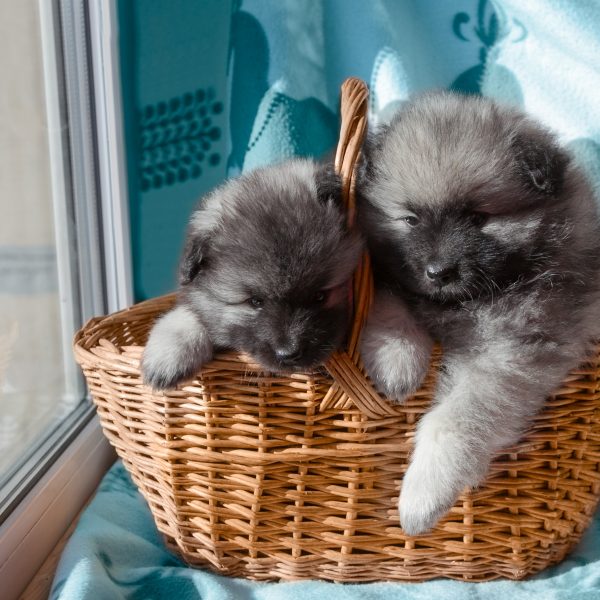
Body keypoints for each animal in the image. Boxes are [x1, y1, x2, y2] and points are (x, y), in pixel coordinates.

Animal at [356, 92, 600, 536]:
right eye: (411, 219)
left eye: (477, 217)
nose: (439, 272)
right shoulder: (392, 274)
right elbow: (389, 298)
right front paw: (398, 362)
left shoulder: (509, 355)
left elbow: (454, 421)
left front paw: (421, 497)